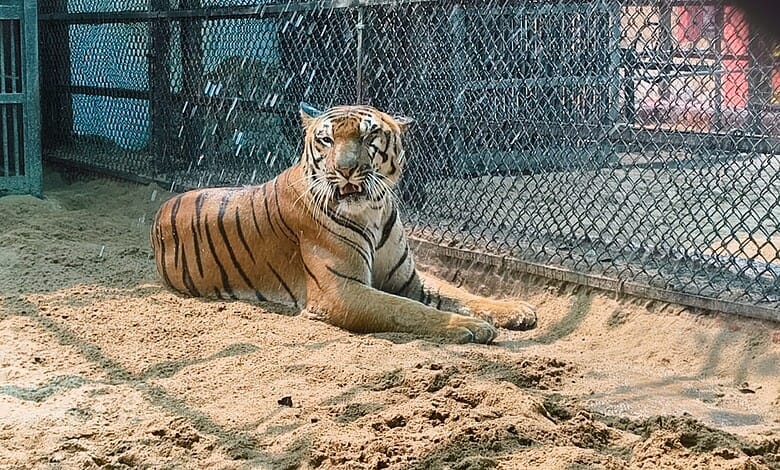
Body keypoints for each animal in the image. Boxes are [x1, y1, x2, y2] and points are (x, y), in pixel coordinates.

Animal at [150, 103, 536, 343]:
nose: (346, 168)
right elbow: (406, 310)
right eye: (327, 139)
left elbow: (458, 291)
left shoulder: (406, 278)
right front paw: (469, 326)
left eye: (369, 136)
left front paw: (514, 309)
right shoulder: (341, 292)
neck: (374, 210)